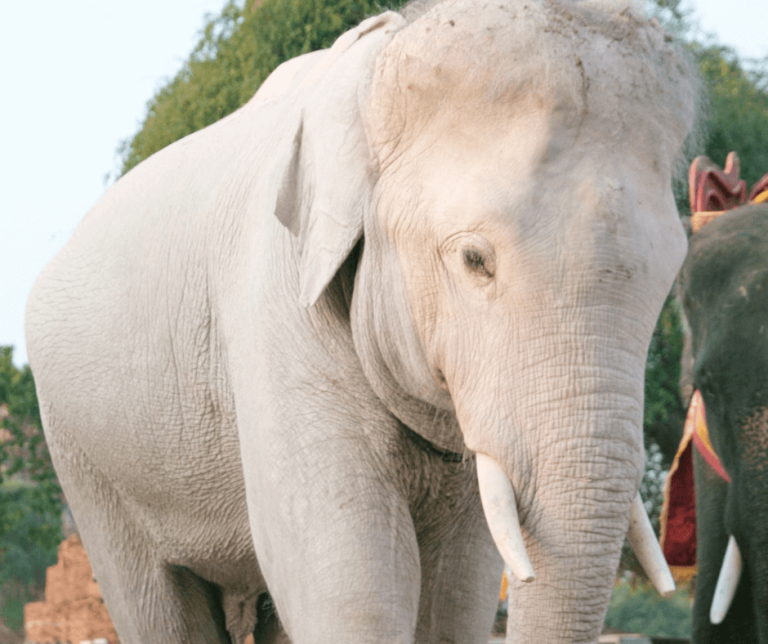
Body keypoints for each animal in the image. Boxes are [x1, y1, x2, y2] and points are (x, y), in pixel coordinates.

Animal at [24, 0, 699, 642]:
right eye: (474, 260)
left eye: (670, 276)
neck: (375, 73)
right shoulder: (275, 301)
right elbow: (353, 586)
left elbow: (457, 590)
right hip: (88, 460)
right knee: (158, 607)